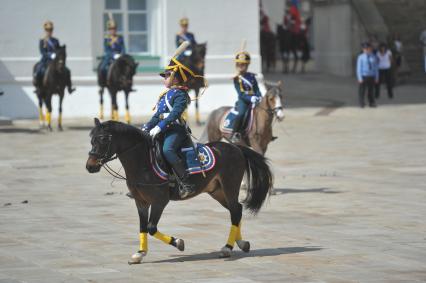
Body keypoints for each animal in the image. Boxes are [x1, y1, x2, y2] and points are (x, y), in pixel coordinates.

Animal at [86, 118, 272, 264]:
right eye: (92, 139)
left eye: (103, 139)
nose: (90, 166)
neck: (143, 162)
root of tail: (236, 148)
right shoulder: (141, 202)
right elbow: (142, 227)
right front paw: (140, 254)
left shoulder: (160, 201)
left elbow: (151, 227)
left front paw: (178, 243)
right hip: (217, 191)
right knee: (236, 210)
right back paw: (241, 244)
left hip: (230, 187)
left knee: (235, 211)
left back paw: (227, 248)